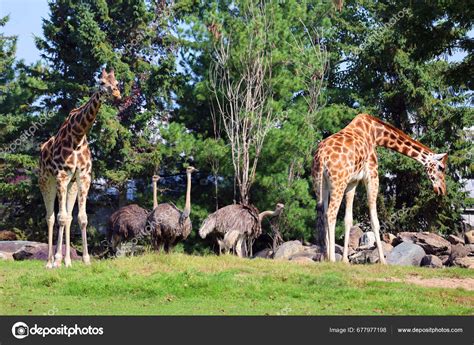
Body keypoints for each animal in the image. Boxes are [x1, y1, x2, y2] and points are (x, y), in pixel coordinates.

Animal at [39, 66, 121, 266]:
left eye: (116, 82)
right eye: (102, 82)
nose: (117, 94)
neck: (78, 135)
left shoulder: (83, 176)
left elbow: (81, 218)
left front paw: (85, 259)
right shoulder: (61, 176)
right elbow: (60, 217)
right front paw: (57, 261)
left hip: (72, 185)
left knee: (68, 217)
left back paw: (67, 261)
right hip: (46, 181)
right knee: (50, 217)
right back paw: (50, 262)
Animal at [312, 114, 448, 262]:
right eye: (441, 167)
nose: (442, 189)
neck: (376, 134)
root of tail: (322, 157)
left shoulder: (353, 181)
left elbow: (348, 219)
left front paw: (345, 261)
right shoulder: (372, 174)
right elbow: (374, 220)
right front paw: (383, 261)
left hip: (321, 183)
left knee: (322, 214)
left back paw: (325, 257)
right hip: (338, 182)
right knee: (330, 213)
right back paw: (331, 259)